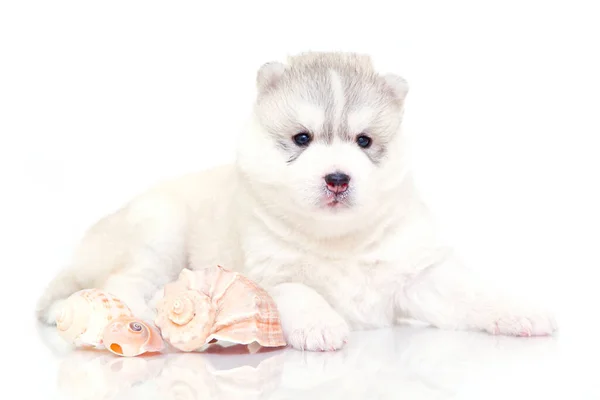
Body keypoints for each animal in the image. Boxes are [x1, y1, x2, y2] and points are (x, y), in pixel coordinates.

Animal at [37, 52, 556, 350]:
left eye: (364, 141)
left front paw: (520, 312)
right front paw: (321, 325)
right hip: (158, 230)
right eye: (302, 138)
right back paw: (143, 317)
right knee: (123, 281)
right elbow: (300, 292)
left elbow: (473, 294)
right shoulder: (270, 273)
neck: (339, 241)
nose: (338, 179)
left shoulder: (418, 275)